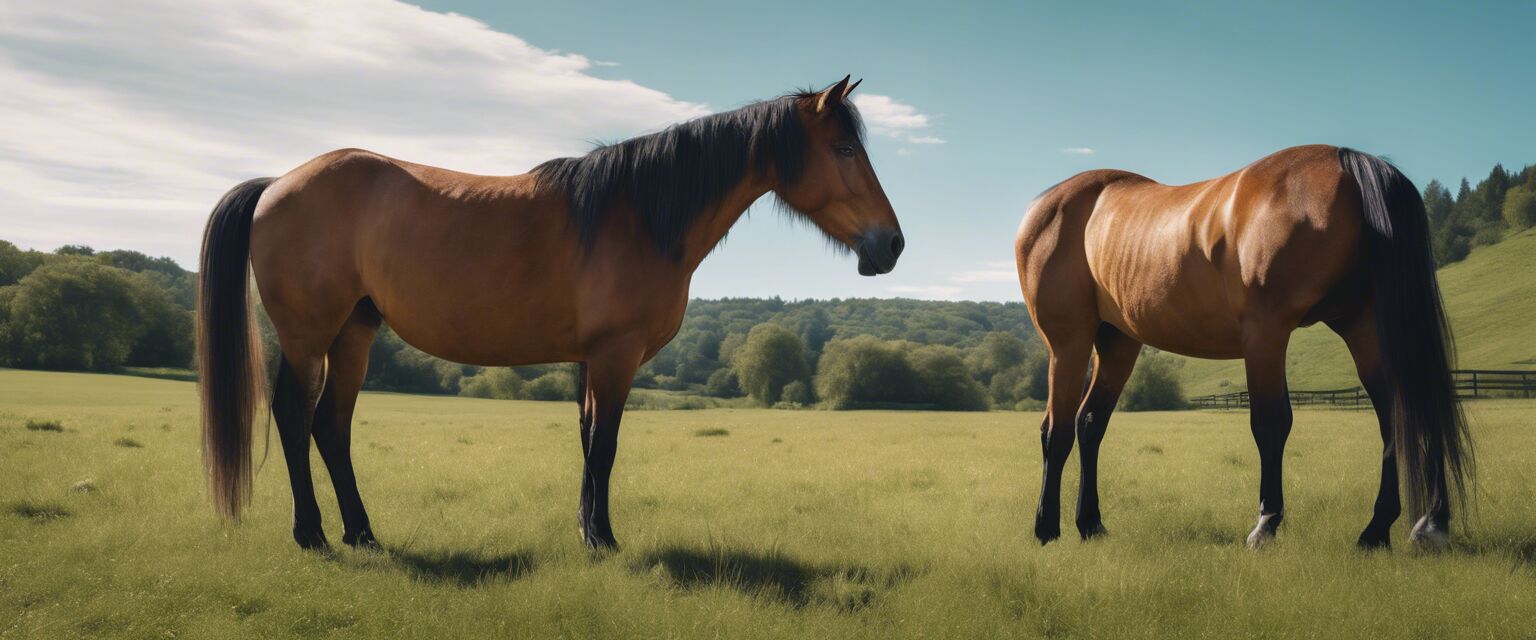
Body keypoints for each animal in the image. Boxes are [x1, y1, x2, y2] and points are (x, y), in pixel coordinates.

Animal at [198, 75, 903, 549]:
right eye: (843, 150)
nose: (891, 245)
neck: (638, 216)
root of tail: (277, 184)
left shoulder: (593, 360)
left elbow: (588, 439)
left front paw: (588, 530)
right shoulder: (616, 356)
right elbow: (606, 444)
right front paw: (605, 540)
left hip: (354, 333)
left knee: (331, 427)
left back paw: (362, 533)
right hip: (307, 336)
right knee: (294, 417)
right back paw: (312, 534)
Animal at [1019, 144, 1474, 549]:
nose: (1434, 522)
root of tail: (1044, 208)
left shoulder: (1356, 327)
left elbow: (1397, 413)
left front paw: (1404, 526)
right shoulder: (1265, 334)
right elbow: (1271, 423)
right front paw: (1266, 524)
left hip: (1118, 345)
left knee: (1088, 424)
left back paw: (1089, 524)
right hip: (1069, 343)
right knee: (1056, 431)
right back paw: (1046, 528)